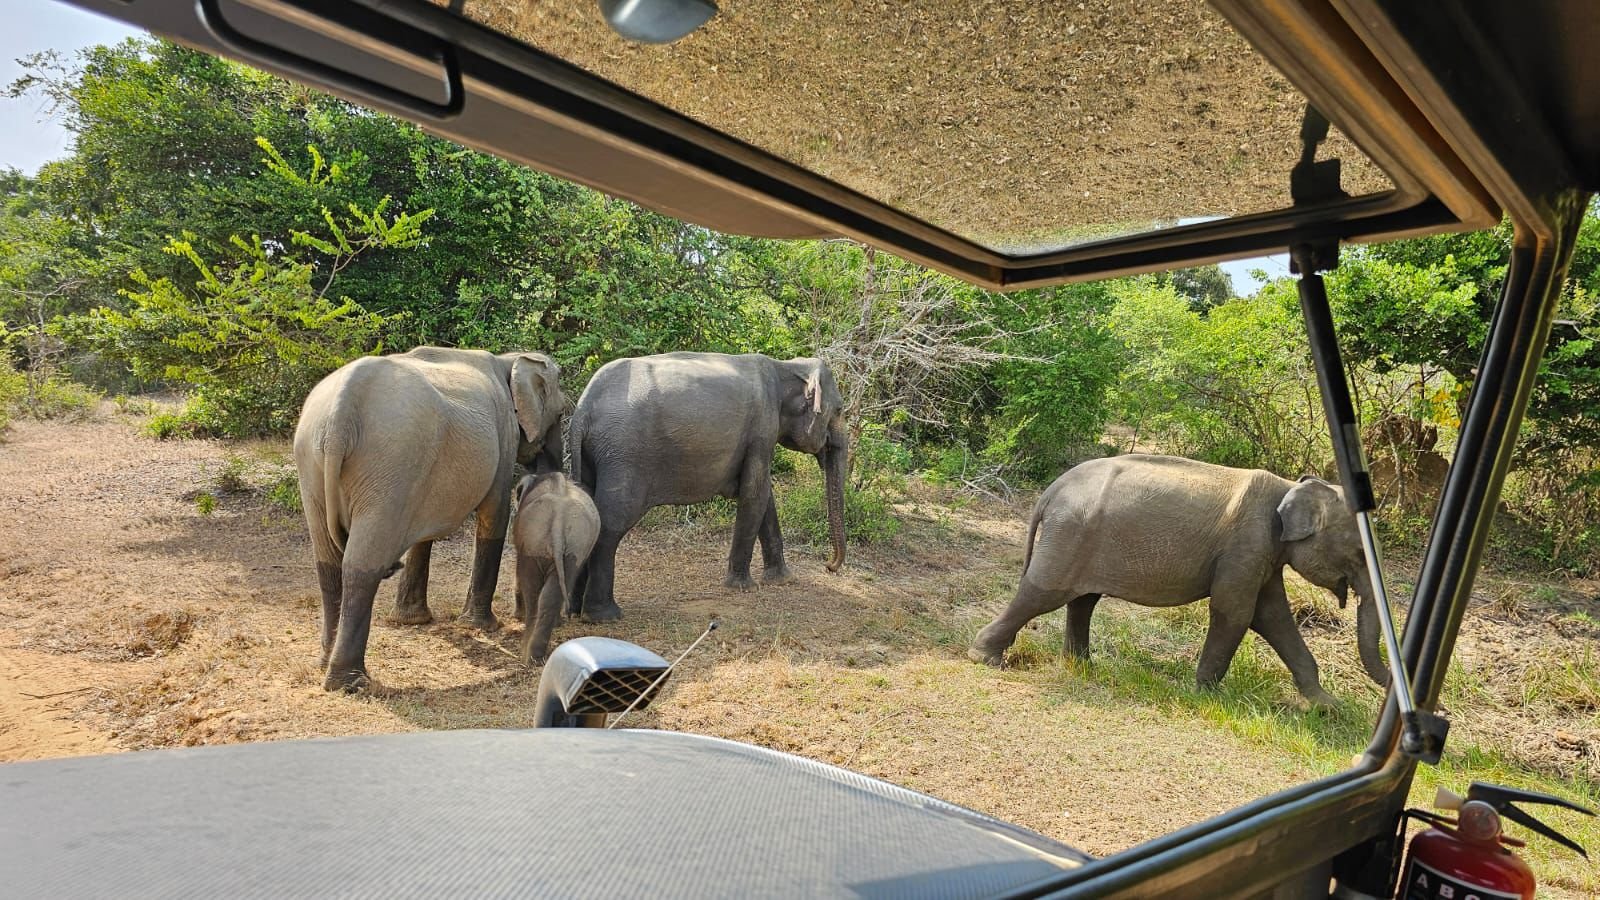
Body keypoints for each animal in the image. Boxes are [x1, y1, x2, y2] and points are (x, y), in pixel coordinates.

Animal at [293, 346, 566, 691]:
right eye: (561, 414)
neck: (509, 359)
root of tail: (341, 416)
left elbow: (422, 529)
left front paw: (413, 620)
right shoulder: (503, 434)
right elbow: (495, 513)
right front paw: (482, 626)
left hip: (312, 464)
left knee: (328, 563)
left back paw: (325, 664)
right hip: (389, 463)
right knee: (360, 565)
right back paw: (351, 683)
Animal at [510, 472, 601, 665]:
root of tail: (559, 520)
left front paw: (517, 616)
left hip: (534, 542)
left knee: (533, 590)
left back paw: (526, 654)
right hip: (574, 548)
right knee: (553, 592)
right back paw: (536, 656)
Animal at [568, 351, 848, 622]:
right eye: (840, 410)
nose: (829, 566)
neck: (786, 365)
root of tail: (582, 410)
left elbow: (764, 496)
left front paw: (782, 580)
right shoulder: (762, 429)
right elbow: (754, 493)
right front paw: (743, 587)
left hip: (597, 456)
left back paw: (574, 611)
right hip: (624, 457)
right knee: (611, 525)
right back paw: (604, 617)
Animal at [967, 454, 1388, 705]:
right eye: (1359, 554)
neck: (1292, 486)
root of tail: (1051, 490)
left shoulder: (1263, 556)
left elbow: (1272, 617)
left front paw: (1326, 706)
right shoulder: (1247, 546)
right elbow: (1236, 612)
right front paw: (1207, 698)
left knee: (1083, 600)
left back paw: (1083, 666)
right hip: (1070, 534)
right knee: (1043, 593)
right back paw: (985, 658)